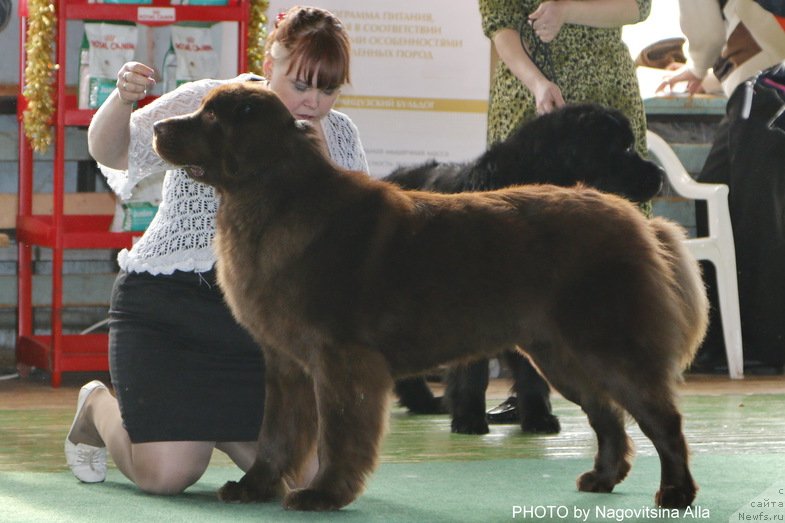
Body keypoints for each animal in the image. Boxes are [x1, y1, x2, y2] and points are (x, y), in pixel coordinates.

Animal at [382, 104, 664, 436]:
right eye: (625, 147)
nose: (660, 175)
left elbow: (531, 371)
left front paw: (538, 417)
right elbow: (472, 369)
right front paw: (468, 417)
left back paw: (423, 402)